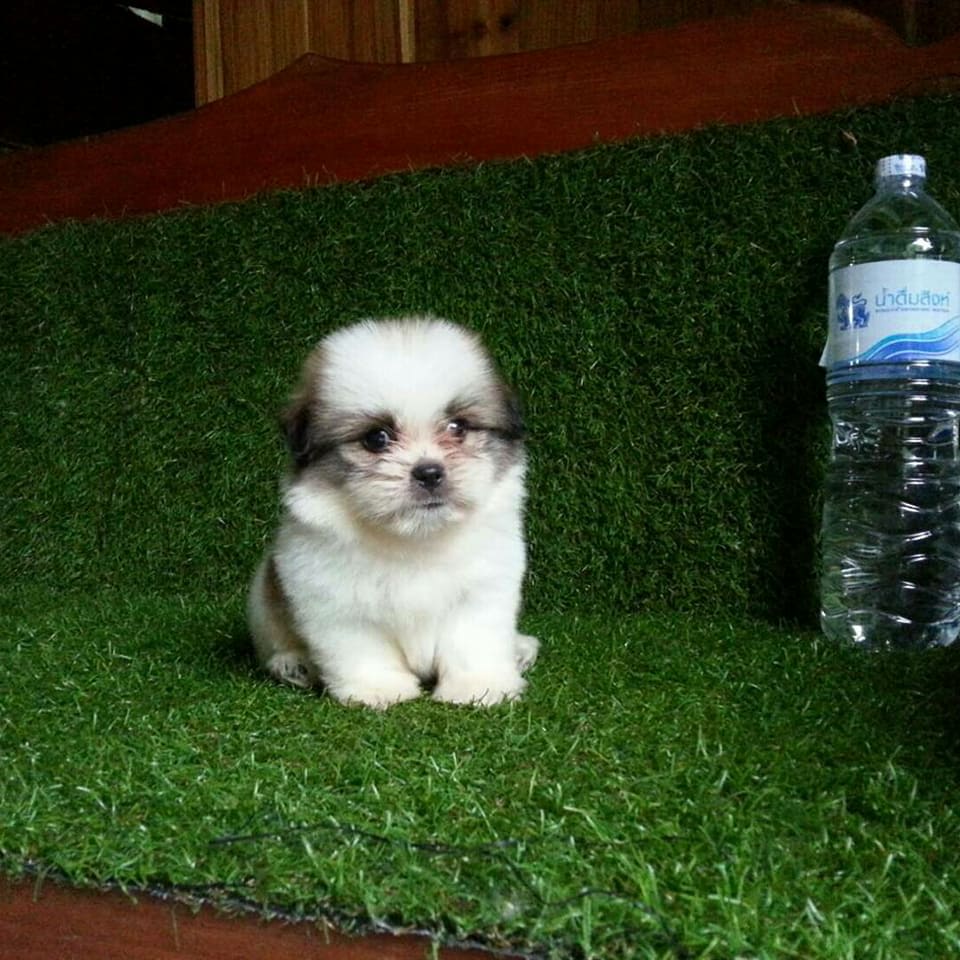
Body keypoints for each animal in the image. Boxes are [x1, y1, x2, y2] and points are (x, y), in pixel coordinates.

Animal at [248, 315, 537, 708]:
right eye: (376, 438)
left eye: (458, 427)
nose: (429, 472)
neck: (415, 540)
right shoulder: (331, 598)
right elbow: (361, 647)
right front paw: (378, 689)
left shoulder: (483, 590)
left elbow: (471, 641)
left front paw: (478, 687)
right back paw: (293, 664)